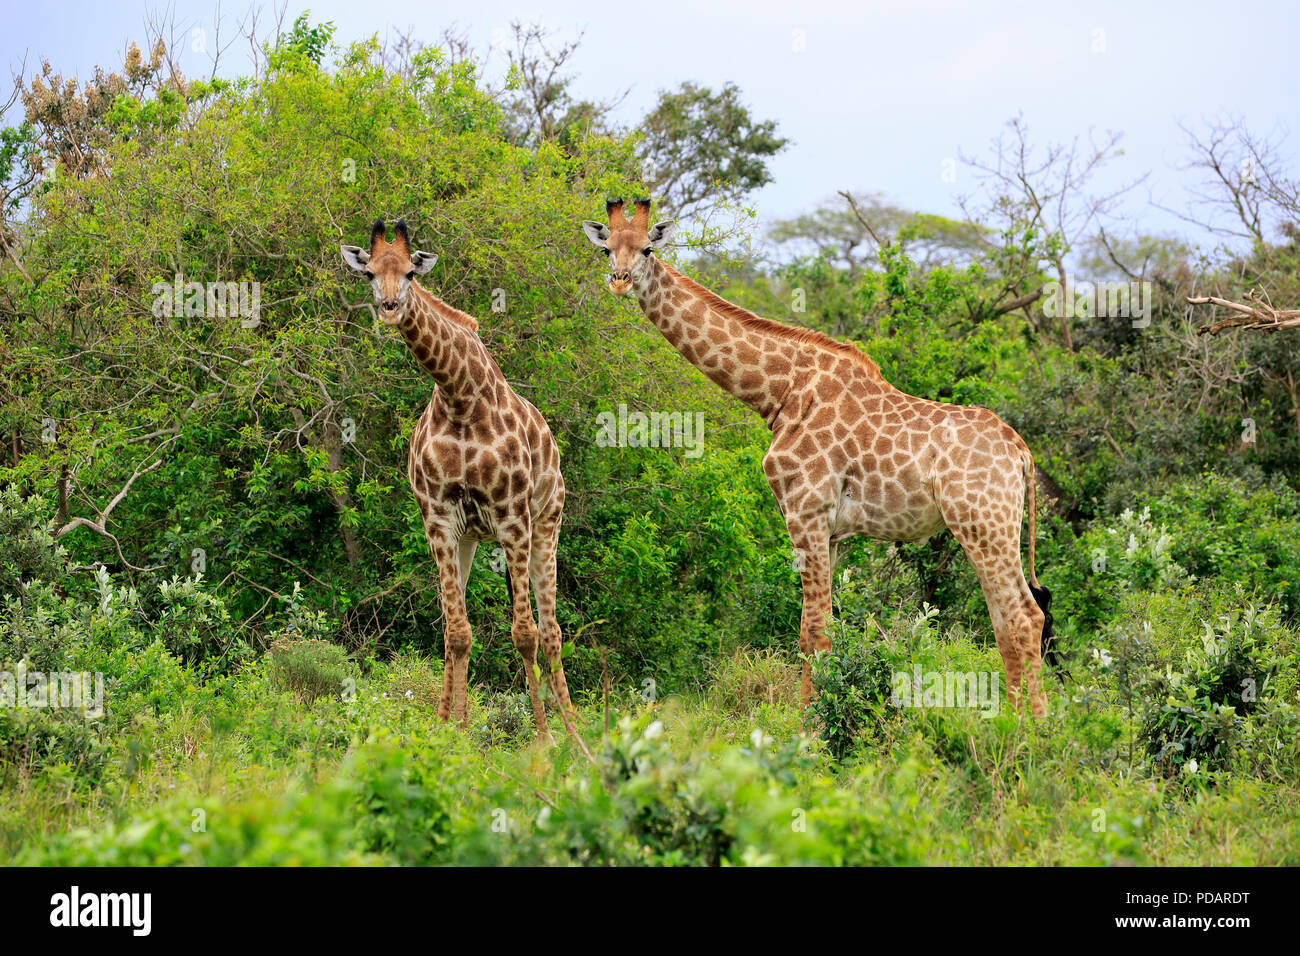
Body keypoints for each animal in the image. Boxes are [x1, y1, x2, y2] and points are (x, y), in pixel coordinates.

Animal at [343, 218, 572, 738]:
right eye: (369, 274)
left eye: (410, 273)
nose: (389, 310)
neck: (458, 394)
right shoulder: (440, 519)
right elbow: (456, 631)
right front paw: (448, 730)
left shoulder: (512, 517)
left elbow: (523, 633)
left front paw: (544, 741)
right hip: (470, 538)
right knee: (468, 626)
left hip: (547, 523)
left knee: (551, 630)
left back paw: (574, 731)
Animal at [579, 196, 1055, 717]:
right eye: (607, 250)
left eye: (647, 249)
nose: (619, 281)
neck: (778, 393)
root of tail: (1021, 451)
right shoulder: (830, 528)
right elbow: (818, 626)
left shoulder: (804, 511)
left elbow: (814, 629)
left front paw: (811, 727)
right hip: (986, 528)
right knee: (1005, 621)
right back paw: (1011, 722)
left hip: (983, 523)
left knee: (1024, 616)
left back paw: (1033, 730)